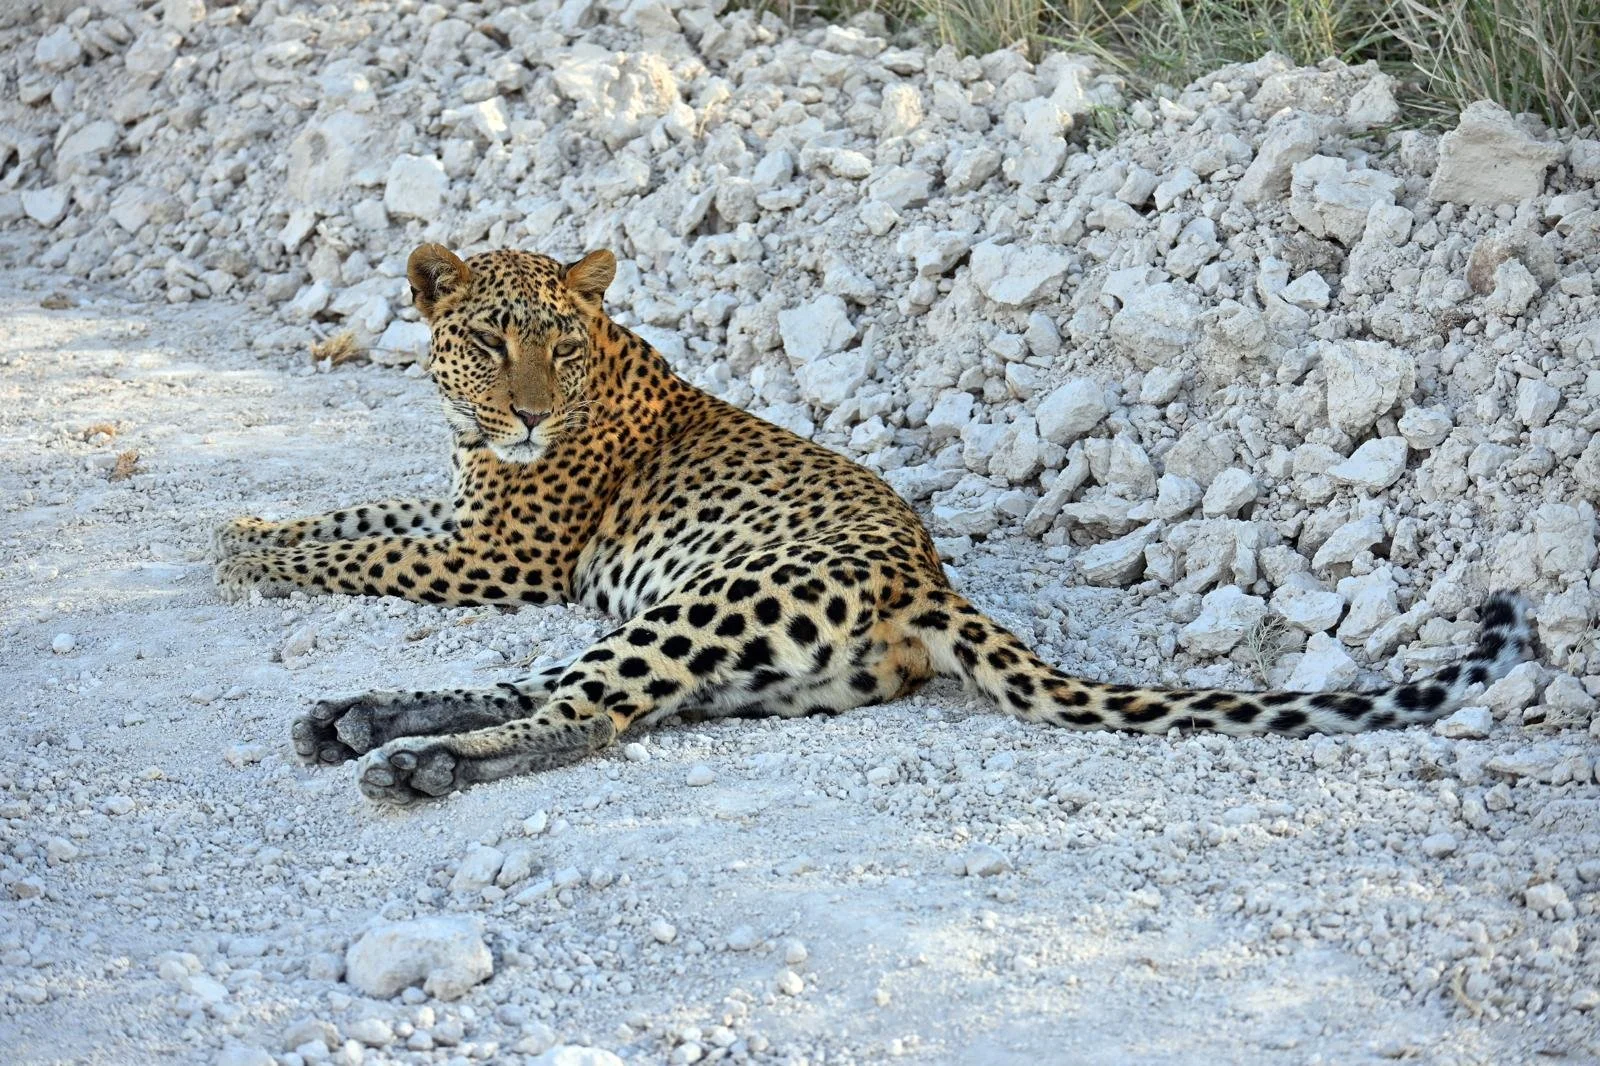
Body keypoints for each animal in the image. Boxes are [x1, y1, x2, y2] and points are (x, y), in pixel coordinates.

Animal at [213, 243, 1535, 804]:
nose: (532, 412)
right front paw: (242, 527)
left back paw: (409, 761)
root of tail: (927, 582)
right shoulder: (465, 510)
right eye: (491, 340)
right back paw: (360, 714)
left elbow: (362, 544)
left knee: (590, 712)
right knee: (548, 690)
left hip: (701, 606)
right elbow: (360, 513)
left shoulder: (500, 550)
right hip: (705, 645)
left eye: (558, 345)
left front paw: (244, 546)